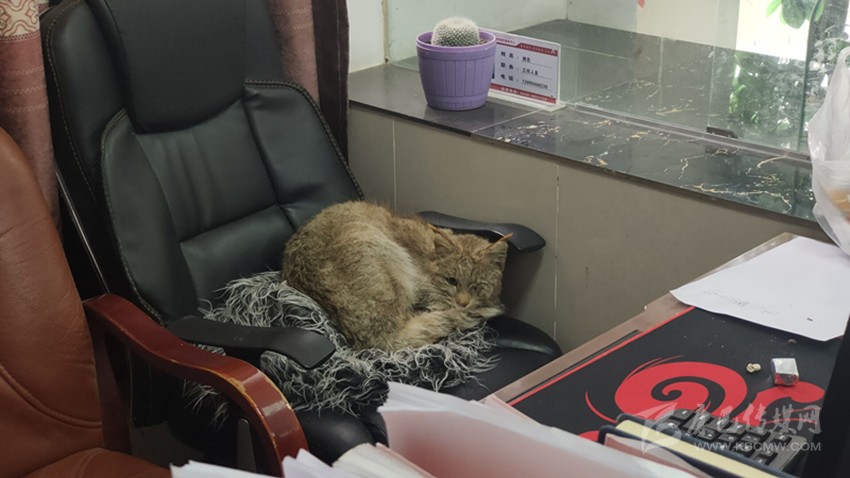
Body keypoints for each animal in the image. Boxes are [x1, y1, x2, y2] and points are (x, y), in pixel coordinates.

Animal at [281, 201, 510, 351]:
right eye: (451, 281)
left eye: (476, 286)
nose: (463, 303)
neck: (428, 253)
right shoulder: (422, 284)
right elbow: (439, 302)